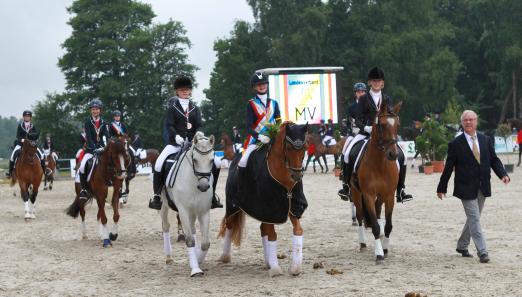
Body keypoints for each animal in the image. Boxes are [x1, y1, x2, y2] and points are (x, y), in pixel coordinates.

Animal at [159, 132, 214, 276]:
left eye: (212, 160)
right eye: (195, 160)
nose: (203, 186)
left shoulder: (203, 211)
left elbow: (205, 243)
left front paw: (198, 261)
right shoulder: (183, 211)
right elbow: (189, 240)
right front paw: (195, 269)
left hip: (193, 212)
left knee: (193, 229)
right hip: (164, 205)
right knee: (166, 225)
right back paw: (169, 258)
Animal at [216, 120, 306, 276]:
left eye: (304, 147)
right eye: (289, 147)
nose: (296, 176)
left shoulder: (291, 206)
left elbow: (298, 230)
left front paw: (295, 268)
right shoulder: (269, 208)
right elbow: (272, 236)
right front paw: (276, 269)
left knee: (263, 229)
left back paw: (268, 262)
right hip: (233, 205)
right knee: (230, 224)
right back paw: (225, 257)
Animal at [350, 100, 402, 262]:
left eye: (397, 124)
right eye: (382, 125)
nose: (393, 155)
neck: (380, 164)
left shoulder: (389, 195)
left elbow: (388, 225)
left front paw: (385, 248)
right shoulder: (368, 195)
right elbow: (374, 225)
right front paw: (379, 253)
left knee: (378, 211)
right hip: (356, 193)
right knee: (360, 216)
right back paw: (362, 244)